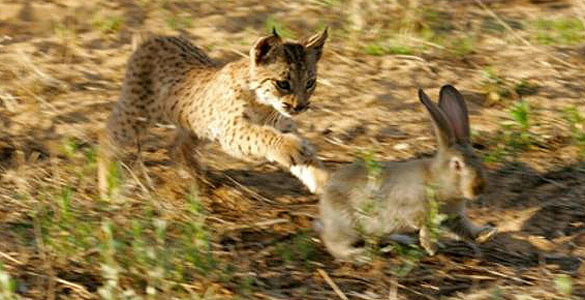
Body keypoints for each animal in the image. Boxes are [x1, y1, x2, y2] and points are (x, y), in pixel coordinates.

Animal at [320, 85, 498, 262]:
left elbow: (466, 229)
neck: (437, 179)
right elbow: (425, 225)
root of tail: (324, 199)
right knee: (335, 245)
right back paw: (359, 255)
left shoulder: (454, 217)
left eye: (478, 159)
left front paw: (486, 232)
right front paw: (430, 246)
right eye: (457, 165)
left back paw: (401, 240)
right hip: (346, 224)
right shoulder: (413, 208)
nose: (479, 188)